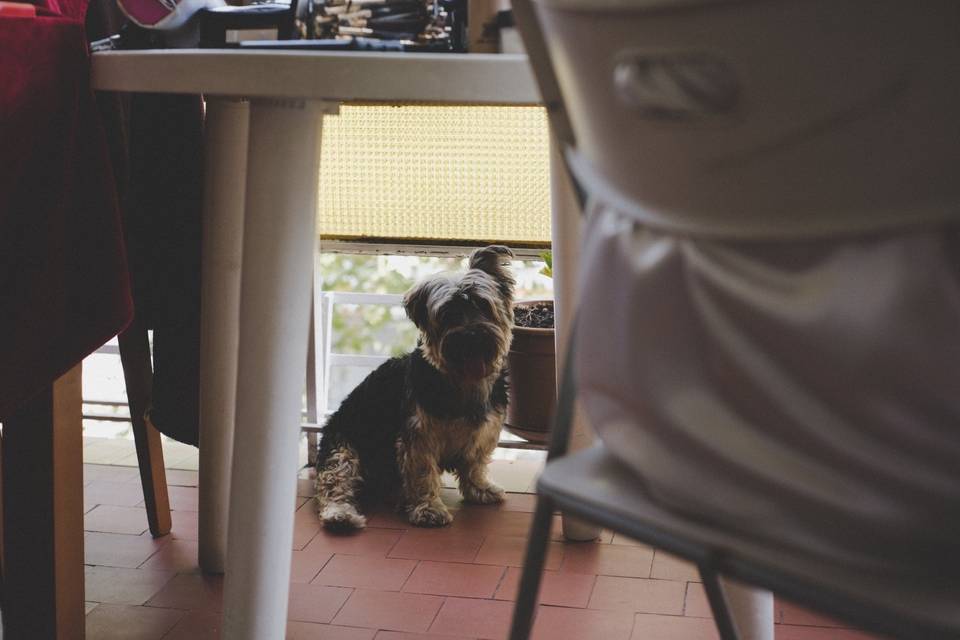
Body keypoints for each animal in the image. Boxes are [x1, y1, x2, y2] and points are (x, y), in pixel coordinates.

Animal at [316, 242, 512, 528]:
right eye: (448, 314)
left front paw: (480, 489)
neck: (461, 379)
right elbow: (422, 472)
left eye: (482, 305)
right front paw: (428, 508)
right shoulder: (419, 435)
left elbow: (475, 463)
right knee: (334, 483)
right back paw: (341, 515)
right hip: (343, 447)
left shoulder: (483, 432)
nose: (471, 336)